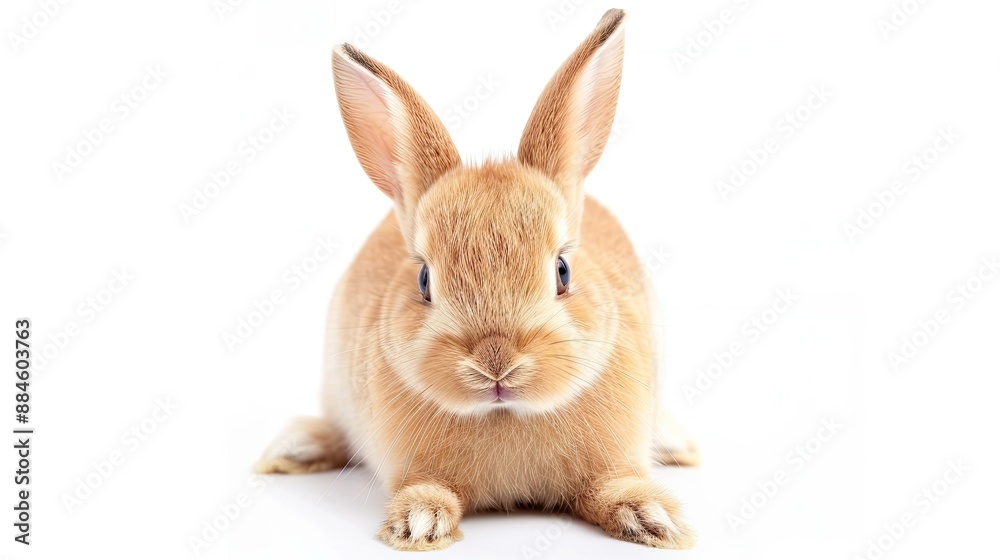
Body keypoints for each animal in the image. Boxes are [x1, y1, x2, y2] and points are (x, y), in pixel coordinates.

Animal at [255, 8, 698, 551]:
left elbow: (614, 486)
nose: (496, 363)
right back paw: (295, 448)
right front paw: (418, 524)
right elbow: (428, 489)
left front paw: (654, 518)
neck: (506, 416)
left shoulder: (612, 463)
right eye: (424, 279)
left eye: (563, 270)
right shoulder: (414, 468)